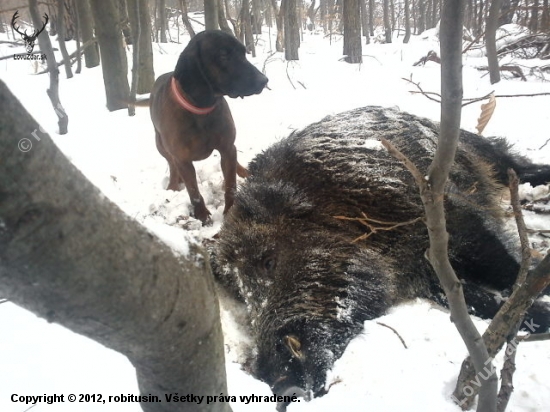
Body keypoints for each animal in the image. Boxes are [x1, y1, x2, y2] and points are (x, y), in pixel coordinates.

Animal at [149, 30, 270, 224]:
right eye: (223, 55)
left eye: (244, 52)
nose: (263, 80)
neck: (201, 110)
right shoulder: (183, 159)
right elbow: (193, 191)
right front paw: (202, 215)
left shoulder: (227, 147)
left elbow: (230, 184)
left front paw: (230, 210)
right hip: (161, 145)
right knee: (171, 163)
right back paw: (173, 184)